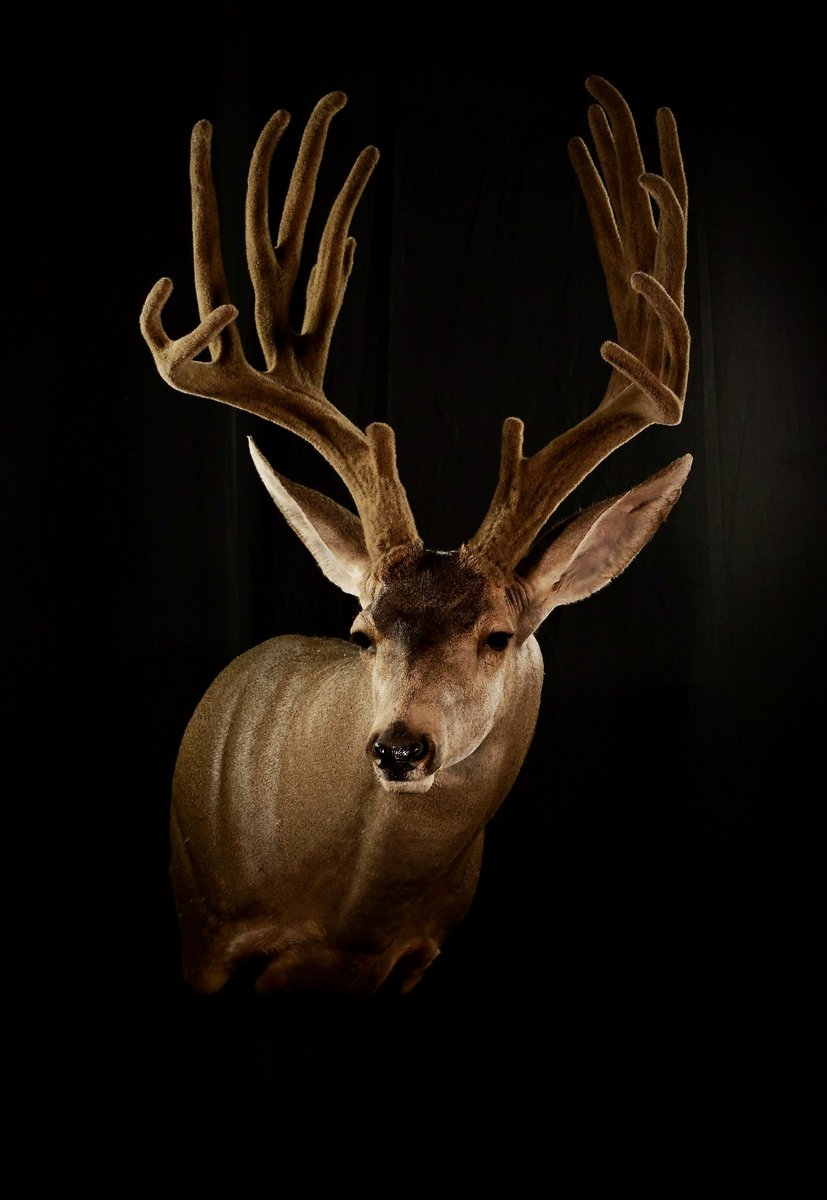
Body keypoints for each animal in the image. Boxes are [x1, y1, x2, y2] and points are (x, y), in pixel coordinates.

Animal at [140, 76, 690, 998]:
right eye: (362, 632)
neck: (346, 915)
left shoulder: (416, 956)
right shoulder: (204, 933)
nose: (399, 747)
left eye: (499, 636)